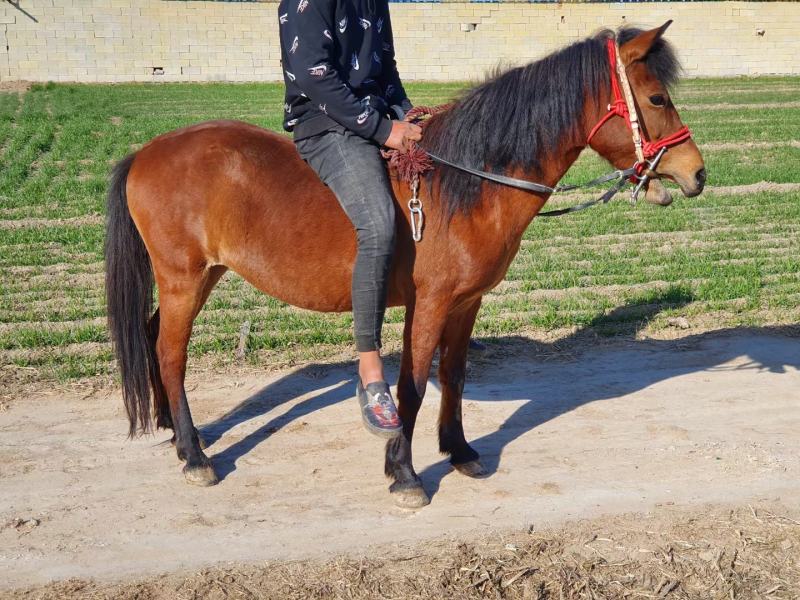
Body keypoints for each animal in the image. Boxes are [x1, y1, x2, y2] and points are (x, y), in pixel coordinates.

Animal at [104, 22, 705, 508]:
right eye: (656, 97)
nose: (697, 172)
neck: (464, 182)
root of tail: (145, 152)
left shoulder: (467, 302)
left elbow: (453, 375)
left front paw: (459, 450)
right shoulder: (431, 302)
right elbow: (412, 386)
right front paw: (404, 473)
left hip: (202, 275)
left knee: (155, 337)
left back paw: (175, 430)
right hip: (183, 277)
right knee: (171, 353)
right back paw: (193, 454)